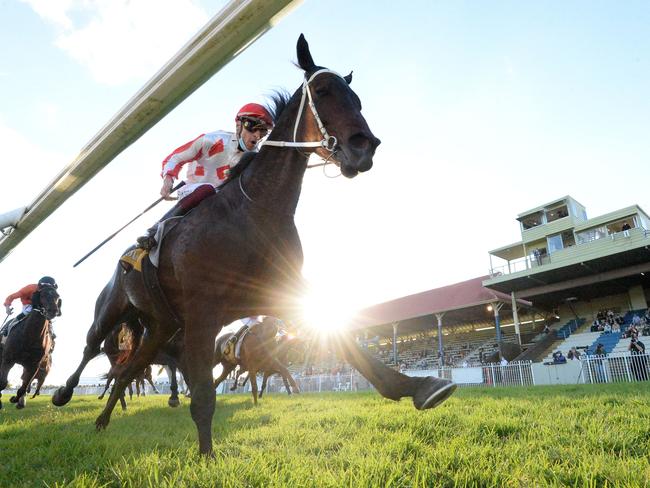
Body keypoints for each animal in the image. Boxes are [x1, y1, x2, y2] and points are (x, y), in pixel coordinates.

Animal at [53, 36, 454, 456]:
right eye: (323, 92)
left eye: (357, 100)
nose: (365, 147)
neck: (255, 210)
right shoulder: (203, 310)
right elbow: (204, 394)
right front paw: (207, 456)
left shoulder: (280, 295)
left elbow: (345, 341)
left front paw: (418, 386)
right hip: (113, 310)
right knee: (92, 349)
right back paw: (64, 393)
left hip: (160, 326)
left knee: (129, 367)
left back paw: (102, 421)